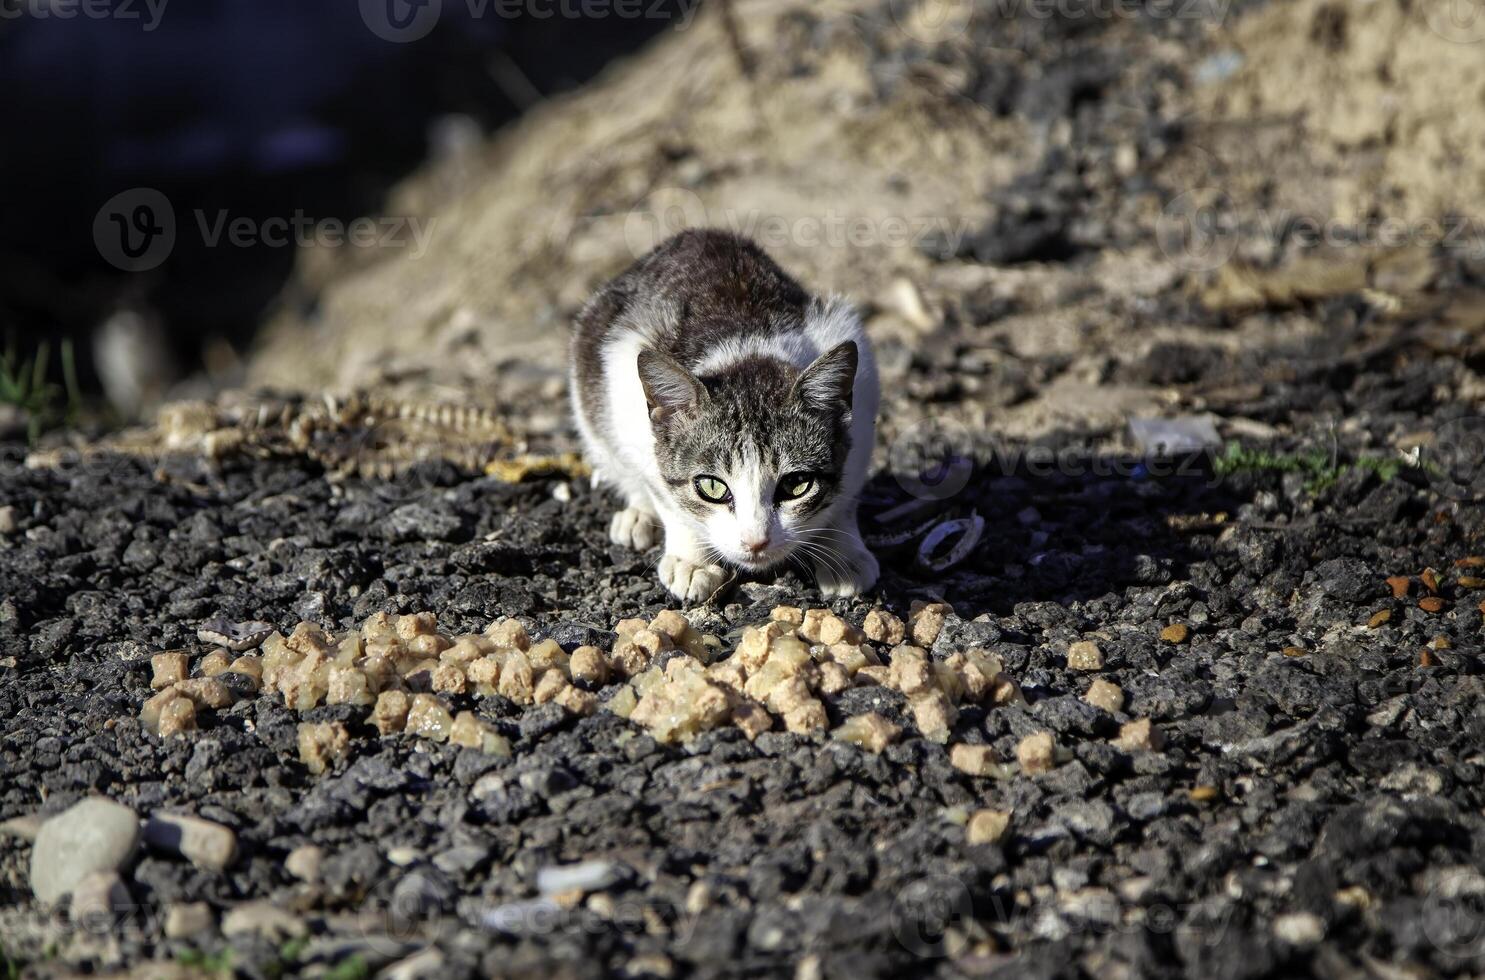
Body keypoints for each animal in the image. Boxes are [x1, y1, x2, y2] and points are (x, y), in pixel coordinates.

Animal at [564, 227, 867, 605]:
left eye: (797, 484)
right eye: (711, 486)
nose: (755, 541)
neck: (745, 348)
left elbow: (847, 496)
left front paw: (844, 556)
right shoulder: (624, 384)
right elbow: (666, 496)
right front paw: (692, 561)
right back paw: (637, 516)